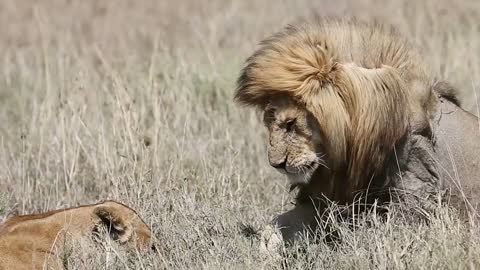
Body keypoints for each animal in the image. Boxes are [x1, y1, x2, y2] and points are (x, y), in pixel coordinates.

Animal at [235, 18, 480, 249]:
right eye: (270, 124)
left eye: (290, 124)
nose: (276, 164)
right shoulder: (331, 195)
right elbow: (277, 225)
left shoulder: (416, 194)